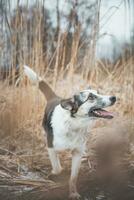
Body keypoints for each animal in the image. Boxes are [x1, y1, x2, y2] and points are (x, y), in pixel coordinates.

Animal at [23, 65, 116, 198]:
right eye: (90, 97)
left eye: (98, 92)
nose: (114, 97)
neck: (74, 124)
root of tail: (56, 98)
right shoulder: (50, 146)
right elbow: (57, 168)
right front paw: (55, 173)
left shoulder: (78, 152)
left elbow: (73, 178)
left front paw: (73, 193)